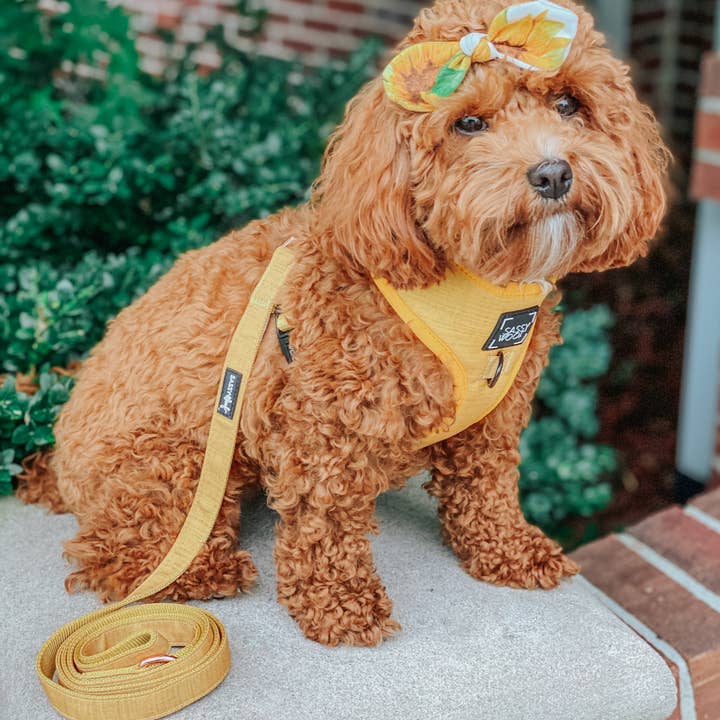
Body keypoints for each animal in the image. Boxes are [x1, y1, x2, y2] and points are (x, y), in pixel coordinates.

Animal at [21, 0, 668, 648]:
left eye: (569, 104)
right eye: (468, 124)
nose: (553, 173)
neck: (477, 287)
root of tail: (56, 454)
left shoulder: (493, 420)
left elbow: (487, 488)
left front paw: (509, 552)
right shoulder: (323, 422)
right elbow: (324, 516)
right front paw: (340, 602)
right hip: (172, 459)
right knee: (116, 553)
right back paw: (204, 569)